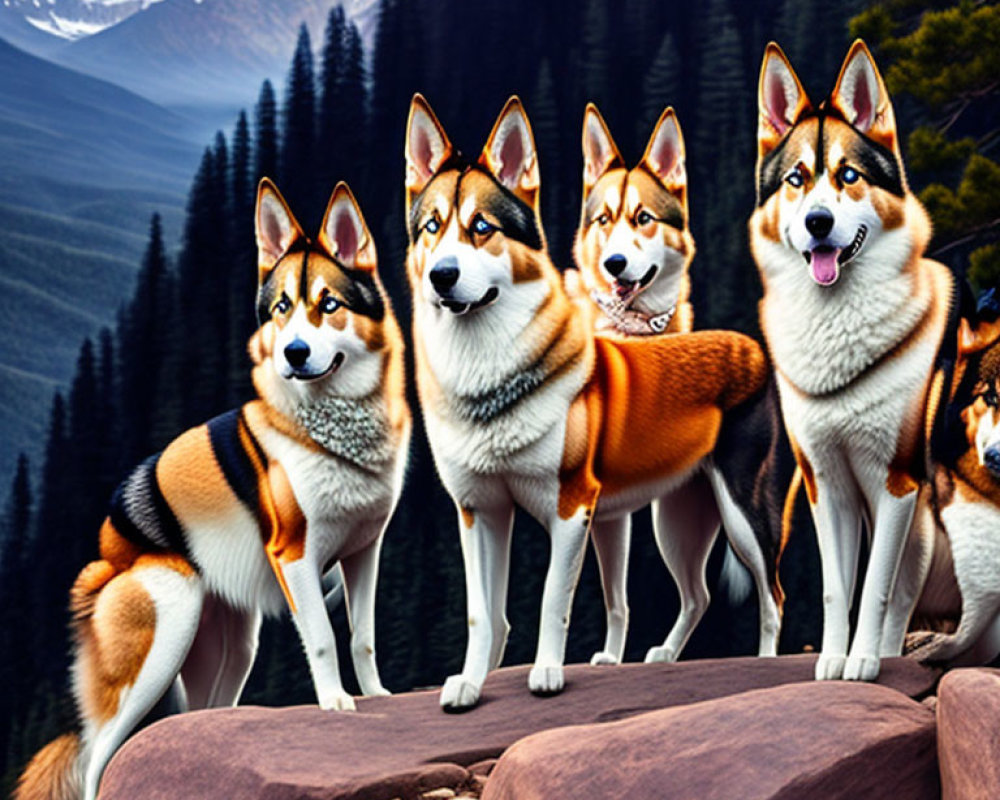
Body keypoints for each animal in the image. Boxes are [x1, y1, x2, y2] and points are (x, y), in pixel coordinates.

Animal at [15, 181, 408, 800]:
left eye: (329, 305)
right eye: (281, 308)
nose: (294, 353)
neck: (332, 434)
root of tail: (103, 564)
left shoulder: (365, 553)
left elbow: (362, 636)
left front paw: (377, 696)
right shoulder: (295, 556)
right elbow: (322, 636)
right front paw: (335, 703)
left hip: (232, 648)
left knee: (200, 716)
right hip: (165, 629)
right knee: (99, 755)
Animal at [404, 95, 780, 712]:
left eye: (481, 228)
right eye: (432, 227)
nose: (442, 276)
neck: (490, 383)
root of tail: (750, 345)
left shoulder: (572, 509)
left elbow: (552, 601)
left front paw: (547, 675)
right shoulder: (480, 510)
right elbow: (484, 614)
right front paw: (468, 685)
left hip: (739, 510)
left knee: (772, 590)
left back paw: (768, 664)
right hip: (675, 521)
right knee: (698, 595)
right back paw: (663, 656)